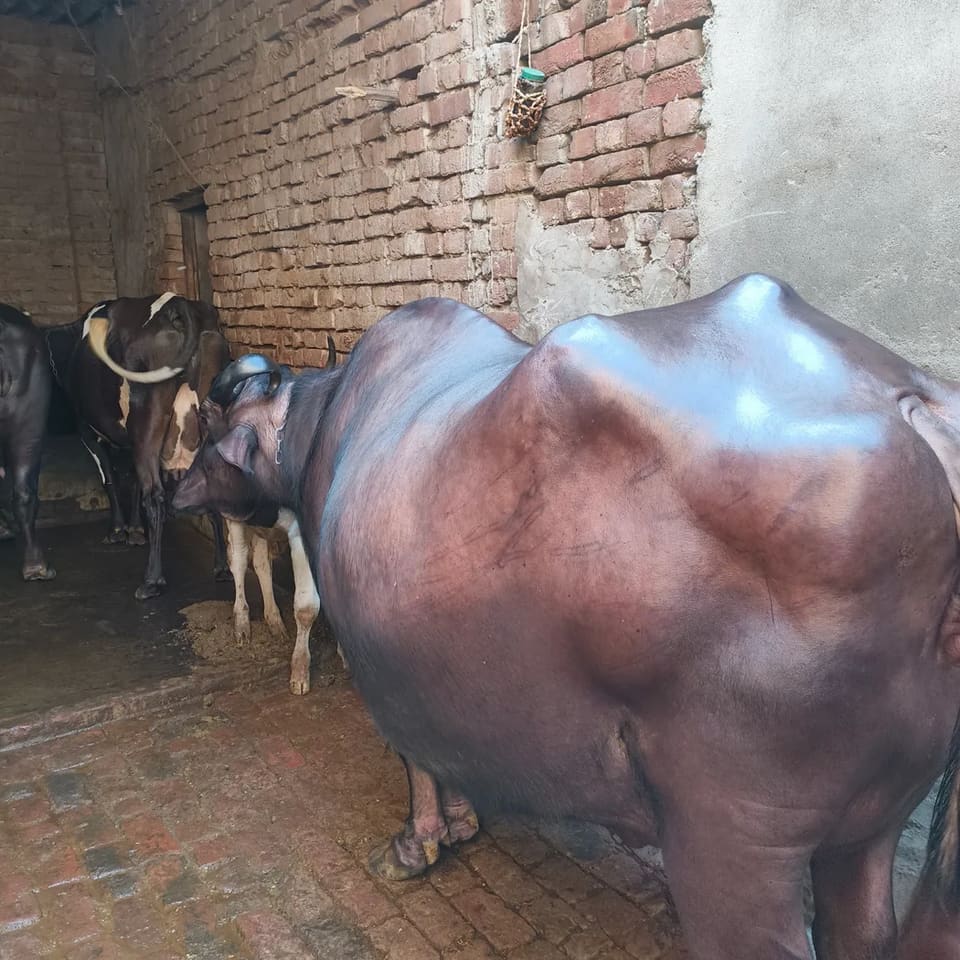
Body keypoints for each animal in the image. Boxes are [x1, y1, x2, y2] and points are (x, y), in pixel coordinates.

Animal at [149, 275, 960, 958]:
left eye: (213, 428)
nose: (174, 486)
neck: (325, 434)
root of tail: (913, 409)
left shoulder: (384, 670)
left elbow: (417, 762)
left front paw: (418, 846)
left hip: (739, 841)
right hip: (874, 824)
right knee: (866, 929)